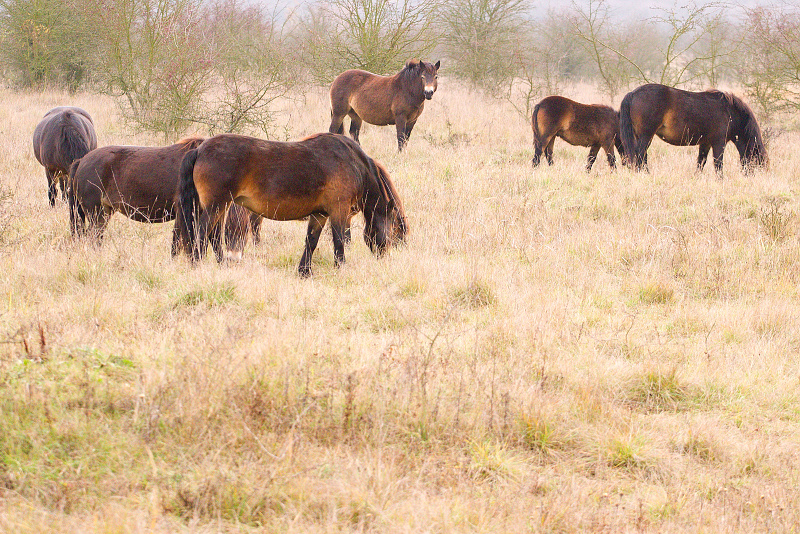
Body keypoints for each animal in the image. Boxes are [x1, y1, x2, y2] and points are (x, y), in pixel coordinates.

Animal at [179, 132, 410, 278]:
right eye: (397, 231)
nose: (386, 259)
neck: (353, 163)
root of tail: (200, 150)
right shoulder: (338, 212)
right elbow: (339, 243)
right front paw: (341, 268)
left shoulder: (319, 215)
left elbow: (311, 242)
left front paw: (304, 272)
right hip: (216, 206)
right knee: (201, 234)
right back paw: (197, 265)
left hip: (218, 207)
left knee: (211, 237)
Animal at [620, 84, 768, 176]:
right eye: (757, 160)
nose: (751, 176)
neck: (729, 112)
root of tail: (633, 93)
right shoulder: (719, 143)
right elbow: (718, 164)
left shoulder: (705, 143)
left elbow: (701, 162)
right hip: (646, 135)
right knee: (639, 155)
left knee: (642, 156)